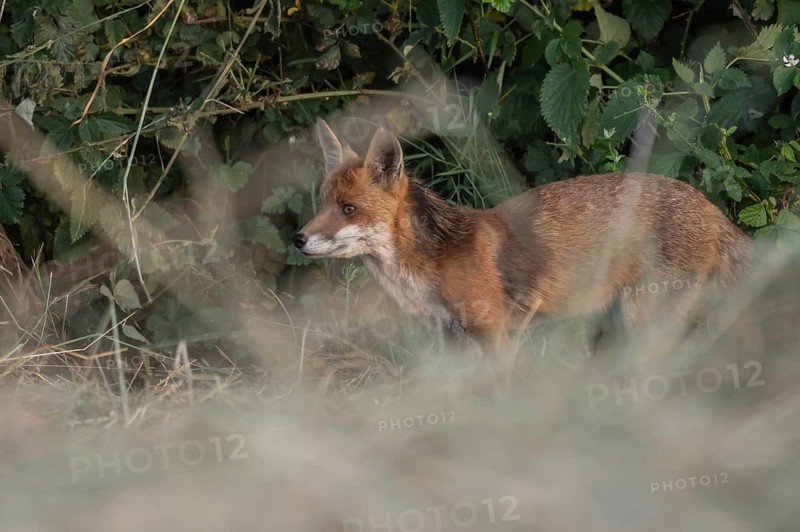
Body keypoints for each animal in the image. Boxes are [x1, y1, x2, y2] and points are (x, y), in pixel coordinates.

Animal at [294, 118, 752, 384]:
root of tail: (710, 207)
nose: (298, 239)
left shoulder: (493, 333)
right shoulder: (448, 339)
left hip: (646, 321)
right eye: (322, 204)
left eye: (348, 209)